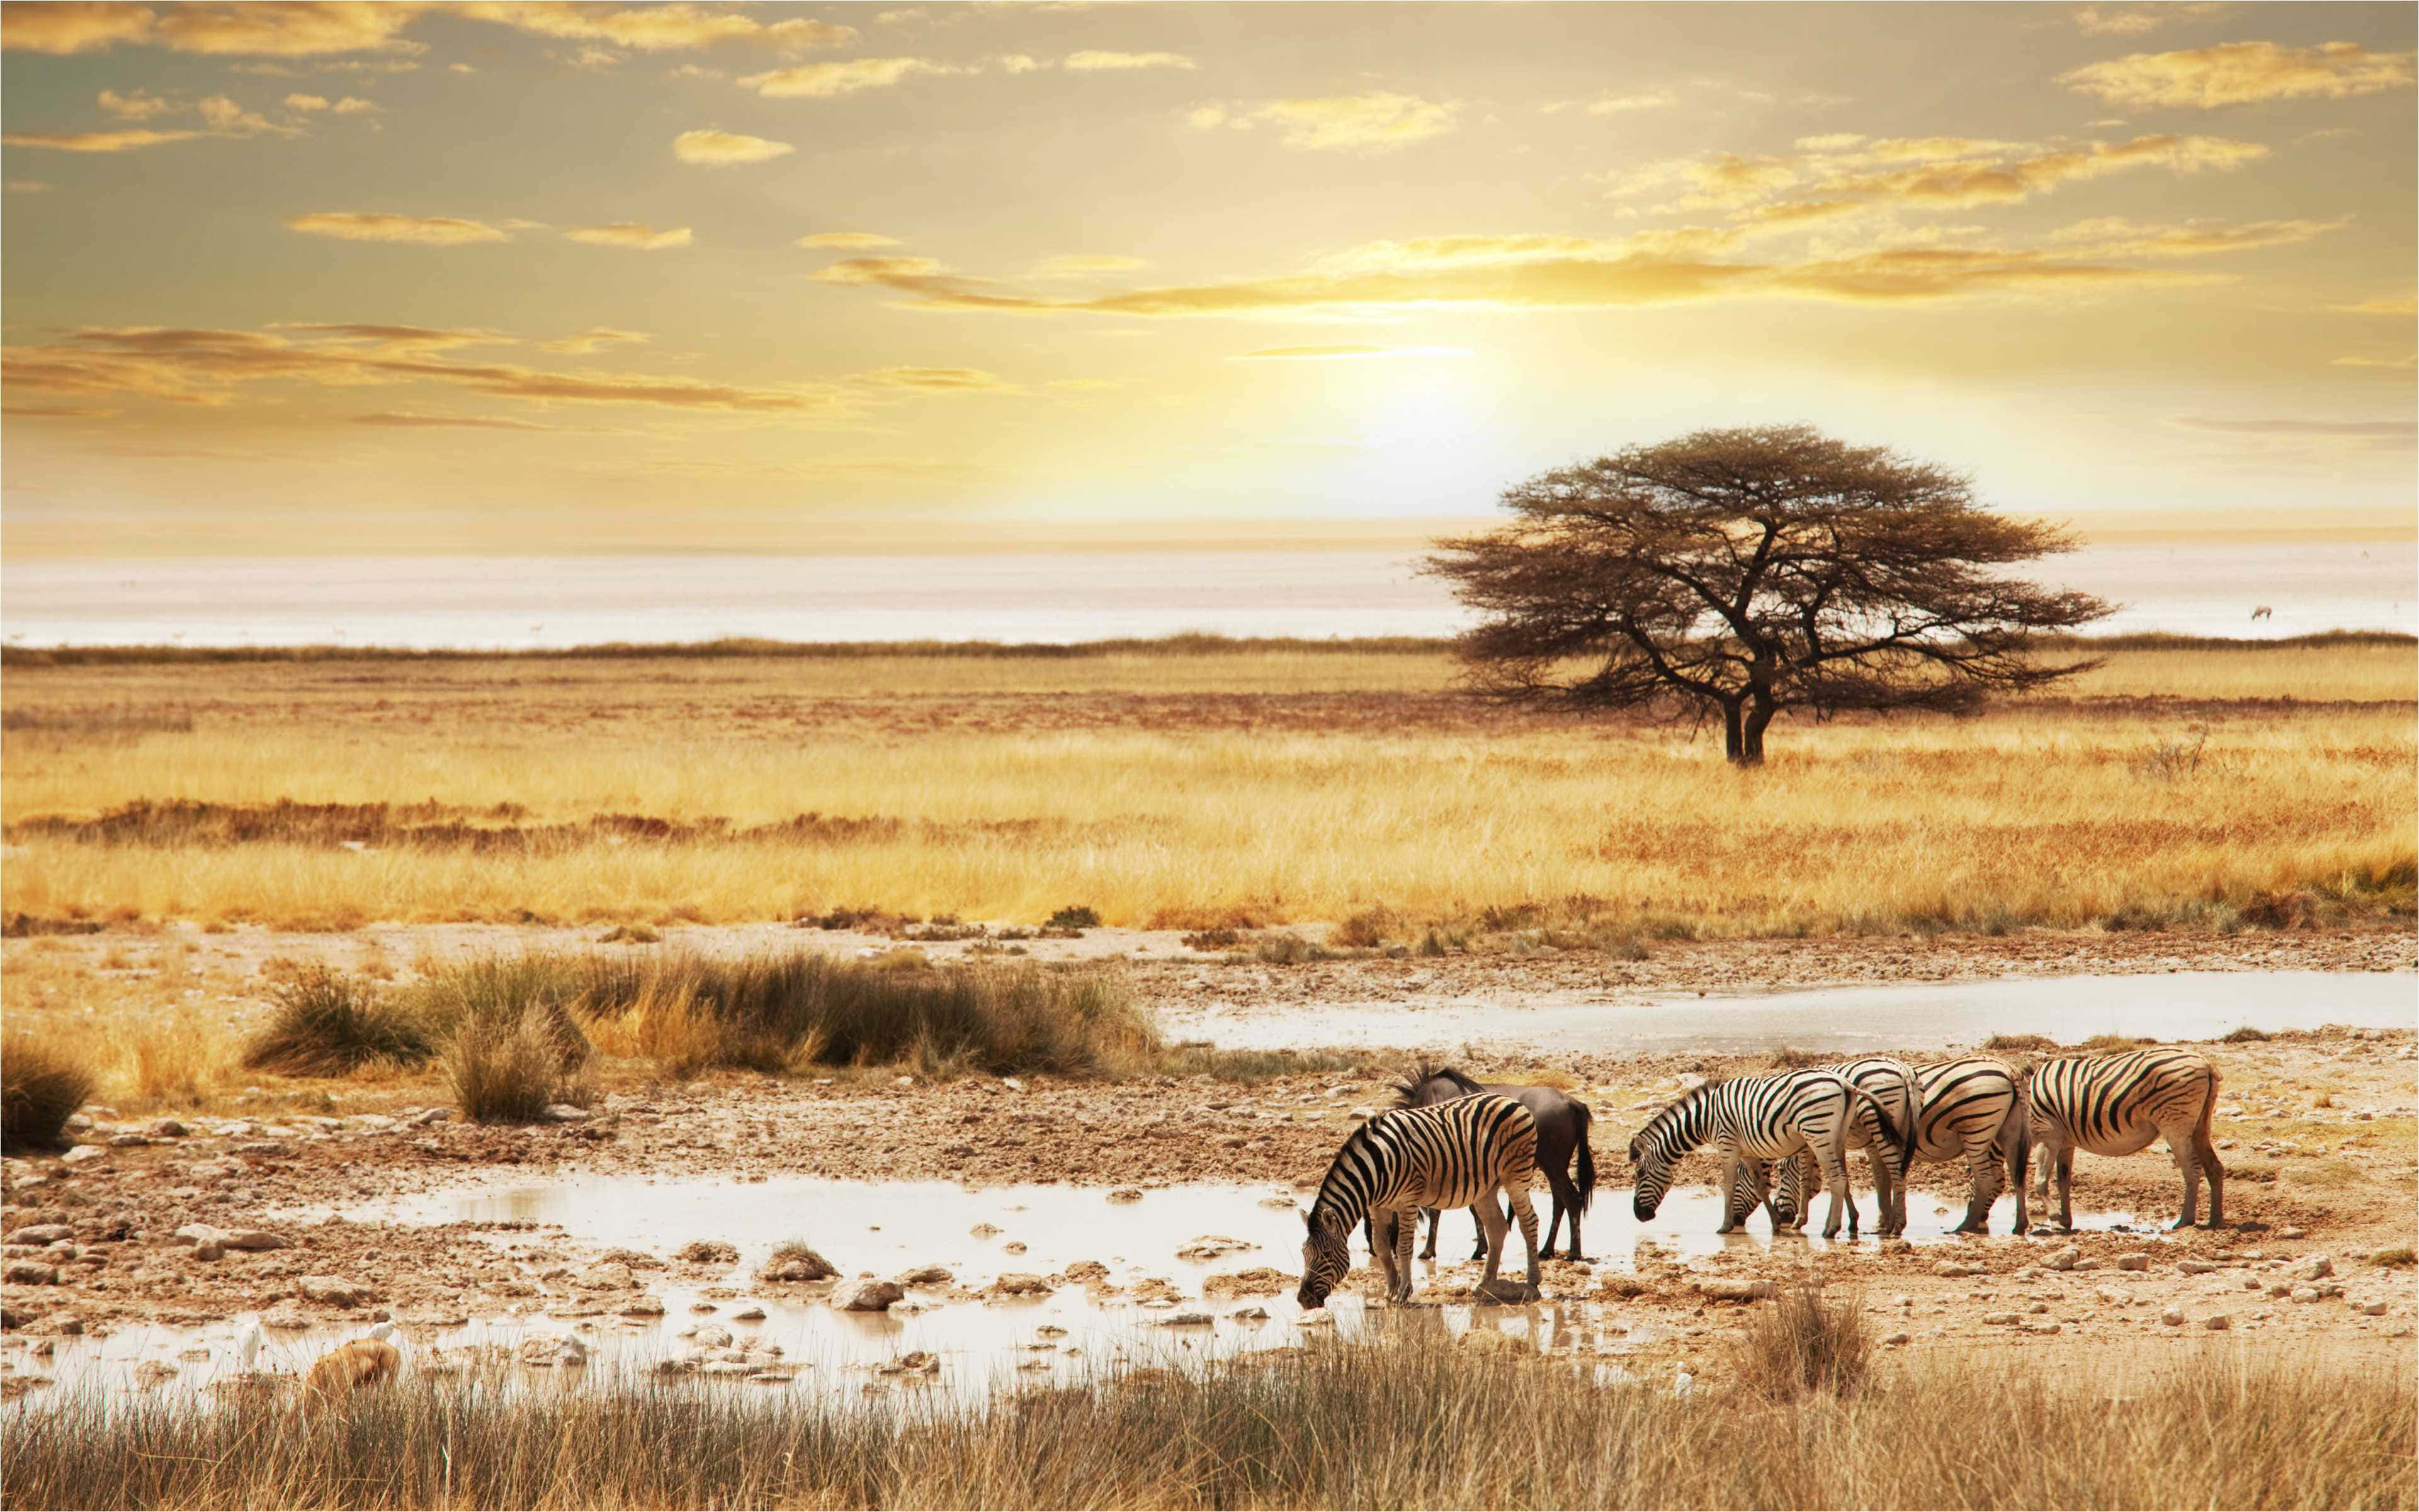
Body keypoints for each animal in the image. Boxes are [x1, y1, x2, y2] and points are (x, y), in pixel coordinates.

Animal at [1297, 1094, 1541, 1308]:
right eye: (1303, 1253)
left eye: (1326, 1255)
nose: (1303, 1299)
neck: (1377, 1168)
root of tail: (1511, 1099)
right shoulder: (1377, 1206)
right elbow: (1381, 1246)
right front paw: (1390, 1292)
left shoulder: (1408, 1202)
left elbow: (1403, 1247)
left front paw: (1403, 1292)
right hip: (1486, 1189)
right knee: (1497, 1228)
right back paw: (1484, 1285)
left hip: (1516, 1176)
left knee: (1529, 1222)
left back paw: (1532, 1282)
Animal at [1628, 1071, 1909, 1240]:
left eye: (1640, 1174)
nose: (1639, 1216)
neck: (1704, 1119)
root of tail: (1846, 1084)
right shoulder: (1748, 1152)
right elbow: (1760, 1187)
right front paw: (1775, 1223)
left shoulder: (1726, 1145)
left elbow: (1728, 1186)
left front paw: (1725, 1226)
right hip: (1836, 1135)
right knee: (1841, 1178)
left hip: (1817, 1131)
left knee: (1838, 1179)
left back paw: (1831, 1229)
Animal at [1744, 1056, 2029, 1235]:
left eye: (1780, 1172)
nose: (1781, 1216)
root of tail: (2008, 1069)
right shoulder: (1855, 1141)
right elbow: (1868, 1180)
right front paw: (1867, 1221)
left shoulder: (1816, 1139)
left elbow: (1807, 1179)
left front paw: (1802, 1221)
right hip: (2007, 1131)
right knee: (2016, 1176)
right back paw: (2018, 1225)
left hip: (1975, 1129)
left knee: (1987, 1179)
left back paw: (1966, 1225)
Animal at [2025, 1047, 2224, 1231]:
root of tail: (2206, 1063)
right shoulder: (2066, 1144)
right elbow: (2063, 1182)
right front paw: (2066, 1221)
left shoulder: (2047, 1136)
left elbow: (2040, 1180)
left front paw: (2055, 1220)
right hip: (2201, 1126)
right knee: (2215, 1167)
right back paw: (2215, 1220)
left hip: (2175, 1124)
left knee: (2192, 1169)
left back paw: (2185, 1221)